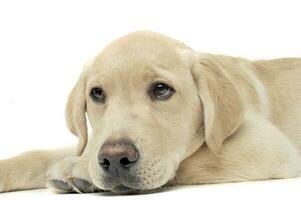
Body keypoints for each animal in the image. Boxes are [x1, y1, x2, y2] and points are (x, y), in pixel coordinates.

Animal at [0, 30, 300, 194]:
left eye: (161, 90)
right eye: (97, 93)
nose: (114, 159)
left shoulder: (268, 146)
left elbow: (190, 160)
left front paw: (79, 169)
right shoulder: (95, 140)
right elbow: (42, 154)